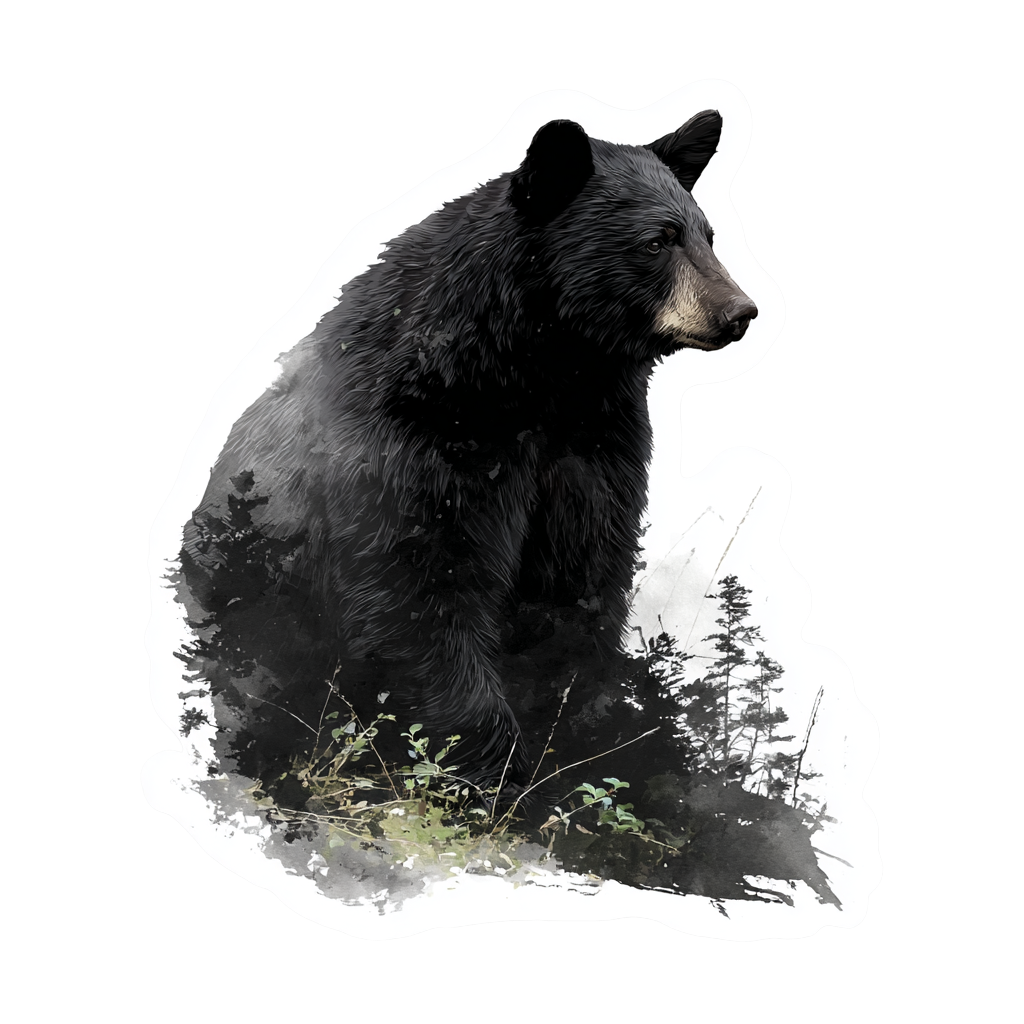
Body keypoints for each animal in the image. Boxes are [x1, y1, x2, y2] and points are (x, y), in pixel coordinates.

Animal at [182, 110, 756, 801]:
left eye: (708, 235)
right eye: (656, 241)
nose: (741, 311)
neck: (540, 374)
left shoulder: (593, 448)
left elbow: (580, 582)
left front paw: (593, 750)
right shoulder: (414, 440)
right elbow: (418, 586)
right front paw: (495, 775)